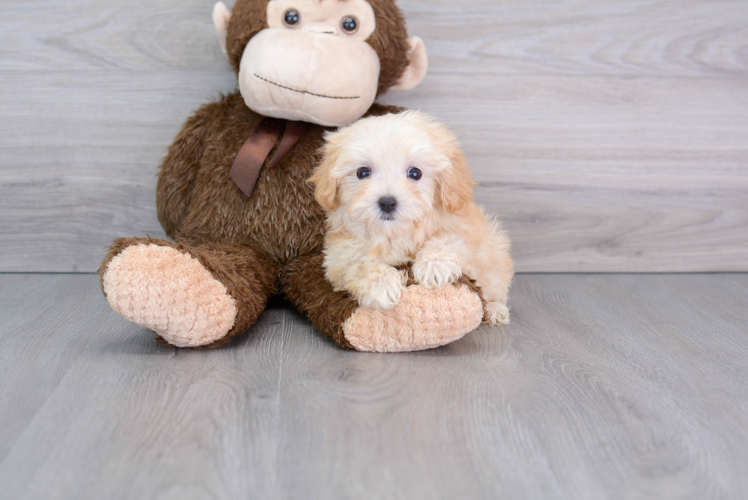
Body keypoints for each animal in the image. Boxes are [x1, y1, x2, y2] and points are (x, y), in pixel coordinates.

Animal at [306, 110, 512, 324]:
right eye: (363, 172)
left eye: (415, 173)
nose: (387, 202)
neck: (393, 234)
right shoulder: (337, 258)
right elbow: (356, 264)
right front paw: (381, 284)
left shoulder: (464, 228)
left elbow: (451, 239)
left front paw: (434, 265)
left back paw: (495, 309)